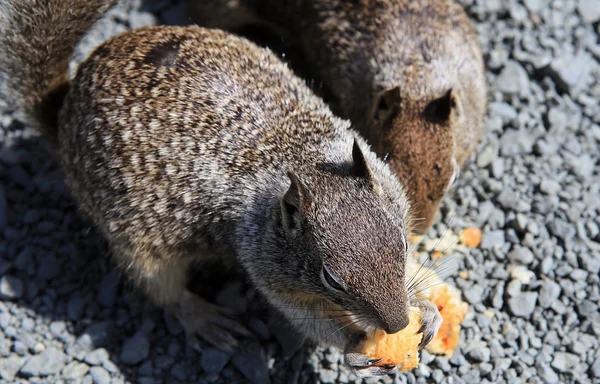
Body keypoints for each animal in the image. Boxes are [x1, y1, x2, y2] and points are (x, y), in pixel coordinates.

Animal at [0, 0, 440, 378]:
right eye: (332, 279)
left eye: (402, 244)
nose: (397, 323)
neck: (298, 157)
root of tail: (63, 111)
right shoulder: (268, 272)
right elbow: (304, 316)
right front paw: (353, 347)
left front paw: (426, 307)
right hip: (137, 249)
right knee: (163, 292)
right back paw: (206, 320)